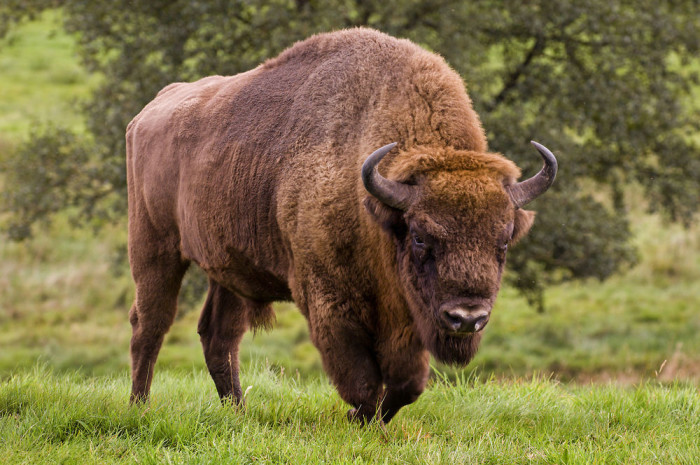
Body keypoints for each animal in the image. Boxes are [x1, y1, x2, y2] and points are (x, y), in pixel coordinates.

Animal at [127, 27, 556, 422]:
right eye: (420, 237)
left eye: (503, 242)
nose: (466, 318)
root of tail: (149, 112)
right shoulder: (331, 302)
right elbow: (361, 377)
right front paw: (357, 417)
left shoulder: (404, 316)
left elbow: (406, 384)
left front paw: (368, 418)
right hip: (154, 248)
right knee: (150, 325)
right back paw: (139, 407)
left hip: (228, 269)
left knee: (219, 335)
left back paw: (238, 412)